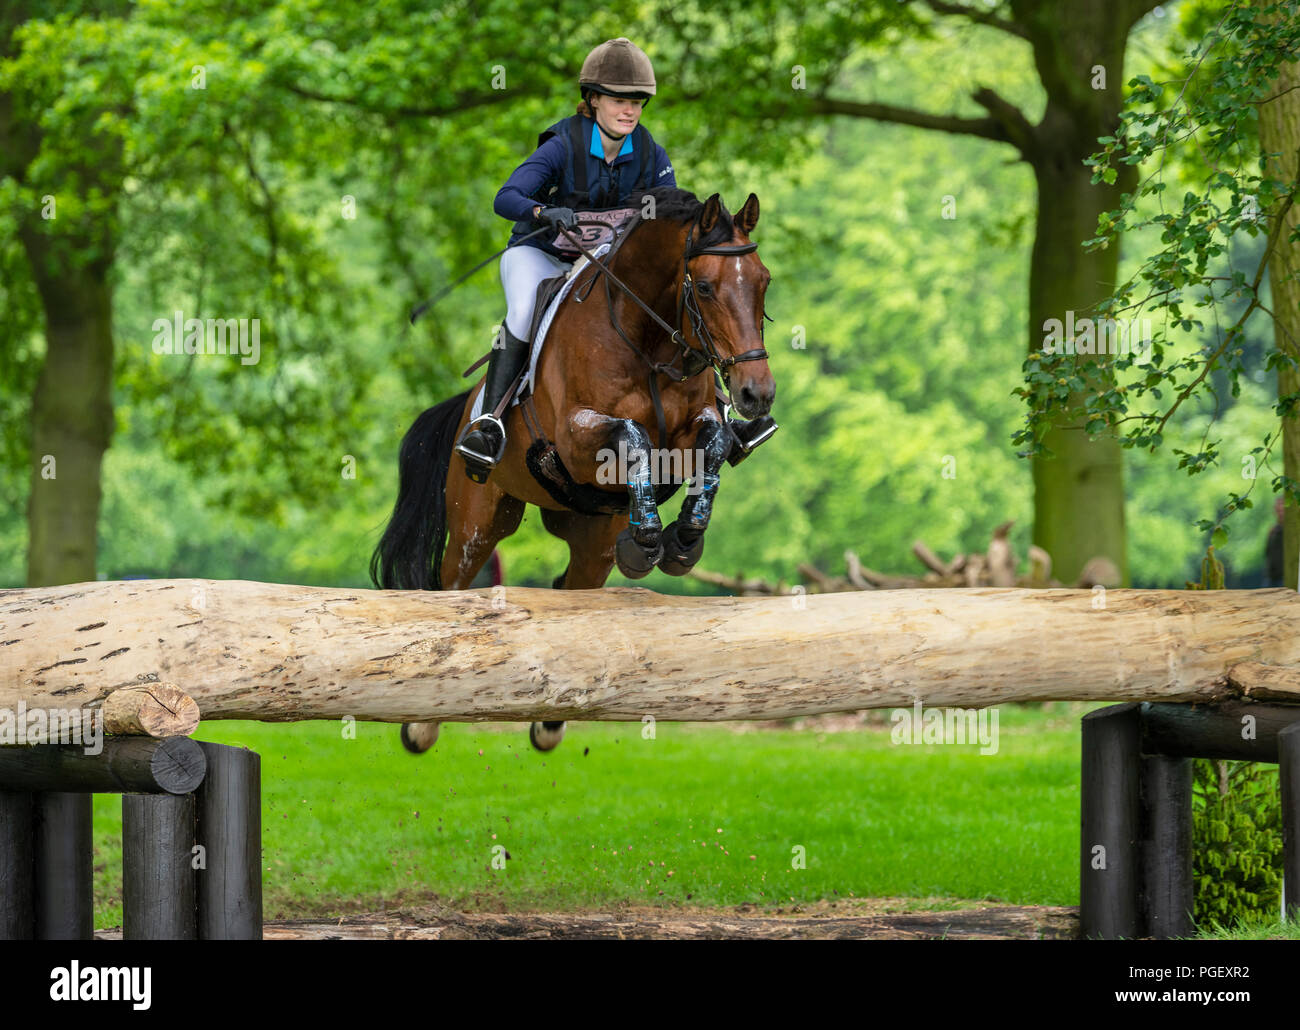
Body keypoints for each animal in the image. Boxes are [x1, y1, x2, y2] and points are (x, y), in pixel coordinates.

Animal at [371, 187, 775, 755]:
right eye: (705, 287)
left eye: (763, 282)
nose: (756, 393)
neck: (647, 340)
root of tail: (469, 405)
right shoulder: (577, 436)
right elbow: (632, 436)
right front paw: (651, 537)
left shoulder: (694, 430)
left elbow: (714, 444)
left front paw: (681, 540)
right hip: (477, 522)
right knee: (453, 584)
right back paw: (421, 725)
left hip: (591, 536)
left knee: (572, 589)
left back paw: (549, 722)